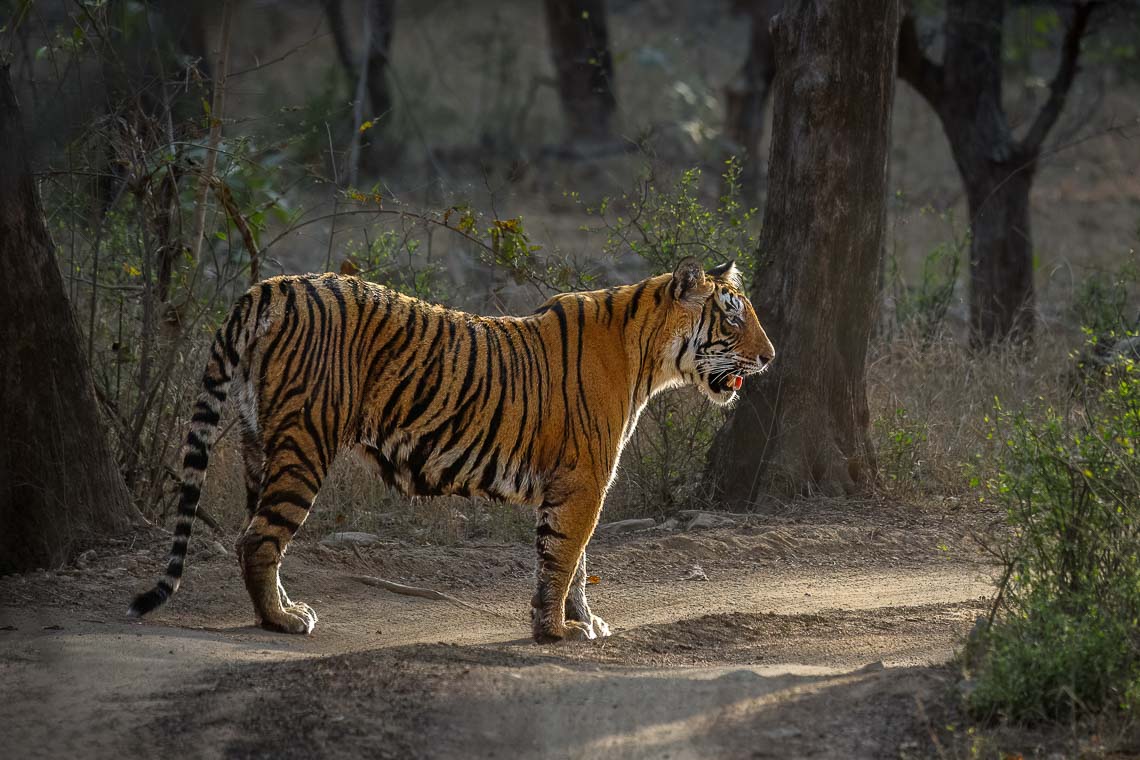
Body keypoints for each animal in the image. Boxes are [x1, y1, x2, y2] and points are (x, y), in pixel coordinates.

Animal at [131, 257, 775, 642]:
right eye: (732, 319)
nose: (770, 357)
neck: (650, 358)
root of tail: (270, 287)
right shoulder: (584, 479)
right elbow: (563, 557)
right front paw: (556, 631)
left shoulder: (577, 482)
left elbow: (576, 561)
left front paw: (581, 621)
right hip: (305, 444)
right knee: (260, 539)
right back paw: (284, 621)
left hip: (258, 443)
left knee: (254, 535)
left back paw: (285, 610)